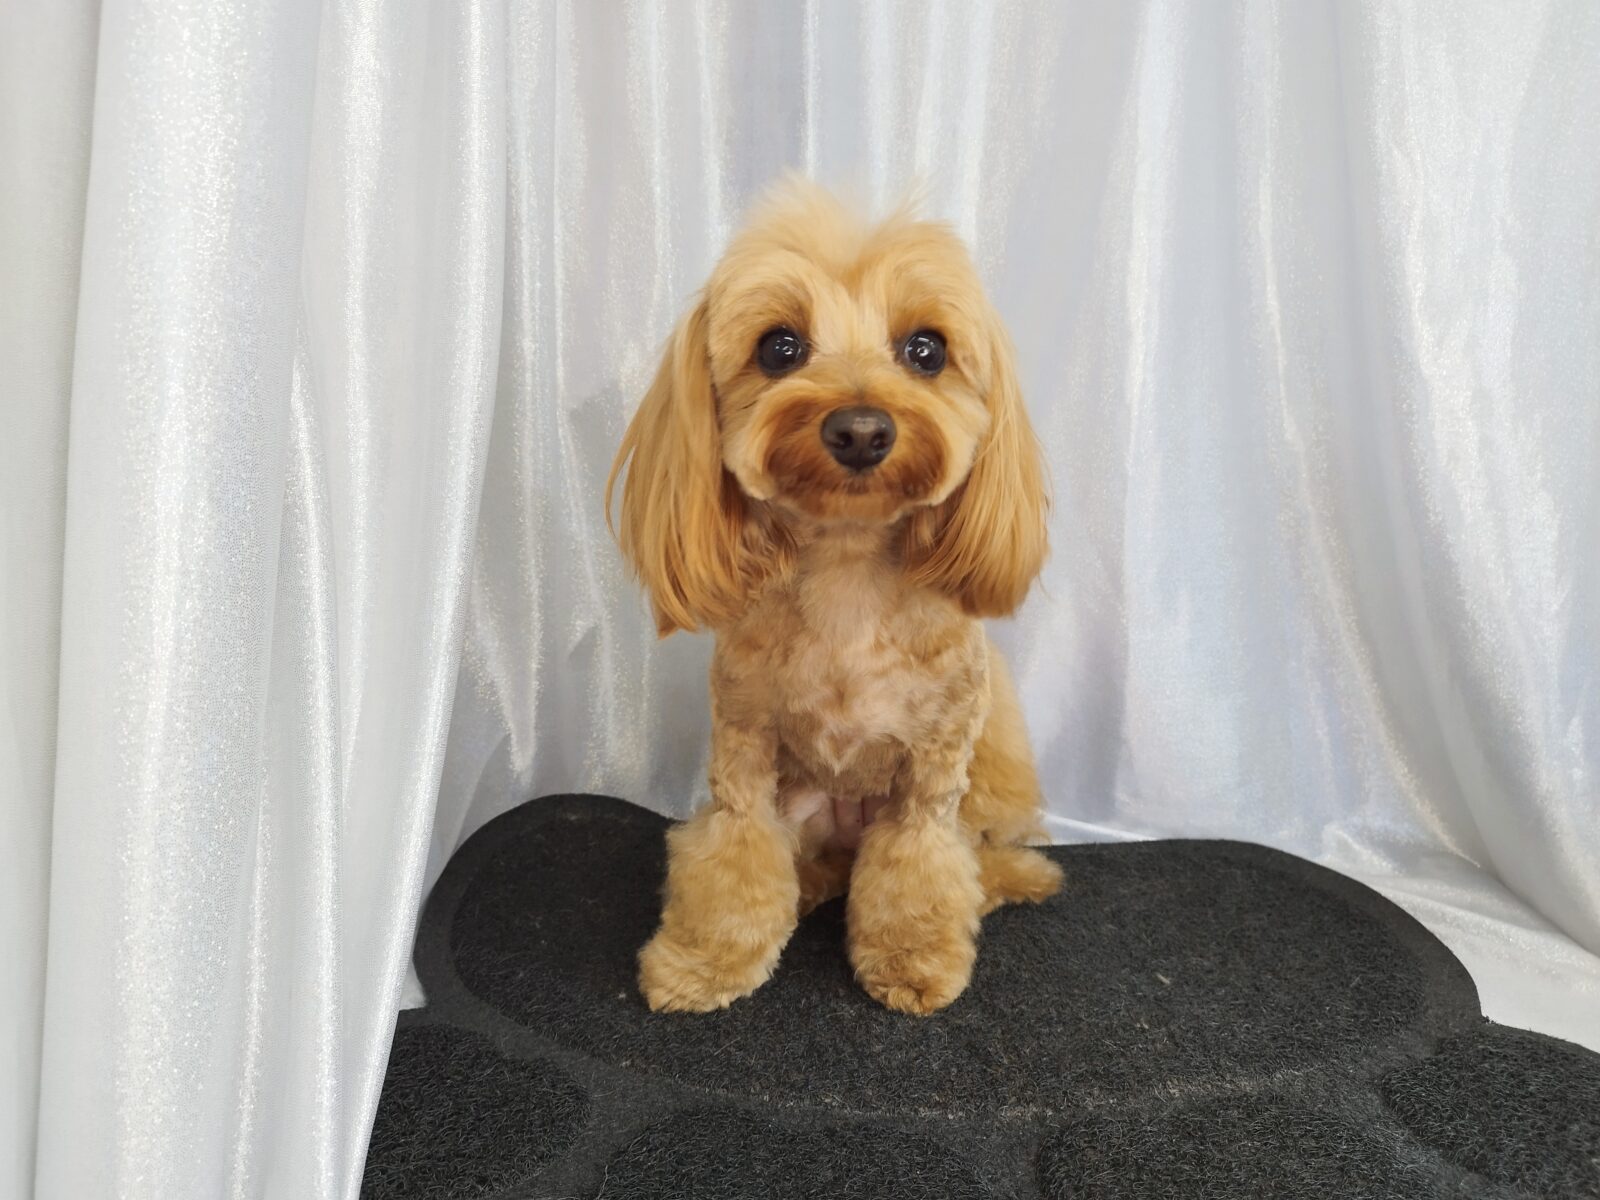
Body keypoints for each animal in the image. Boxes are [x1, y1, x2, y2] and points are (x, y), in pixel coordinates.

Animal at [607, 178, 1060, 1016]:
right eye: (779, 348)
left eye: (926, 350)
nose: (859, 430)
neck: (848, 575)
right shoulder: (746, 751)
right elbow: (734, 854)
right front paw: (703, 963)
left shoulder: (931, 774)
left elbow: (920, 863)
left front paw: (914, 961)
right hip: (808, 809)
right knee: (812, 865)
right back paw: (814, 885)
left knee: (973, 854)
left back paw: (1007, 878)